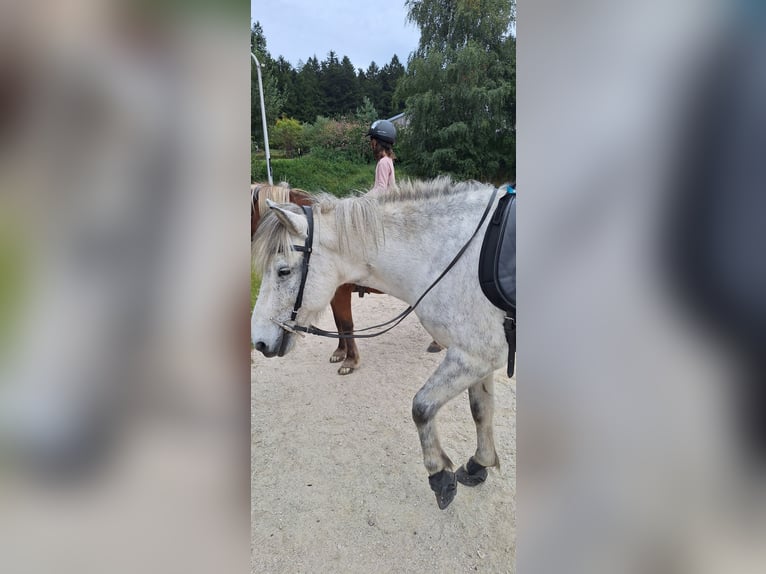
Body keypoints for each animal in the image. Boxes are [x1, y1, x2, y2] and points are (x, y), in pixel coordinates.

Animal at [251, 183, 364, 375]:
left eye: (284, 271)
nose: (259, 344)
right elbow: (339, 323)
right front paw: (340, 352)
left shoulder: (341, 293)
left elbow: (347, 324)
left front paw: (350, 360)